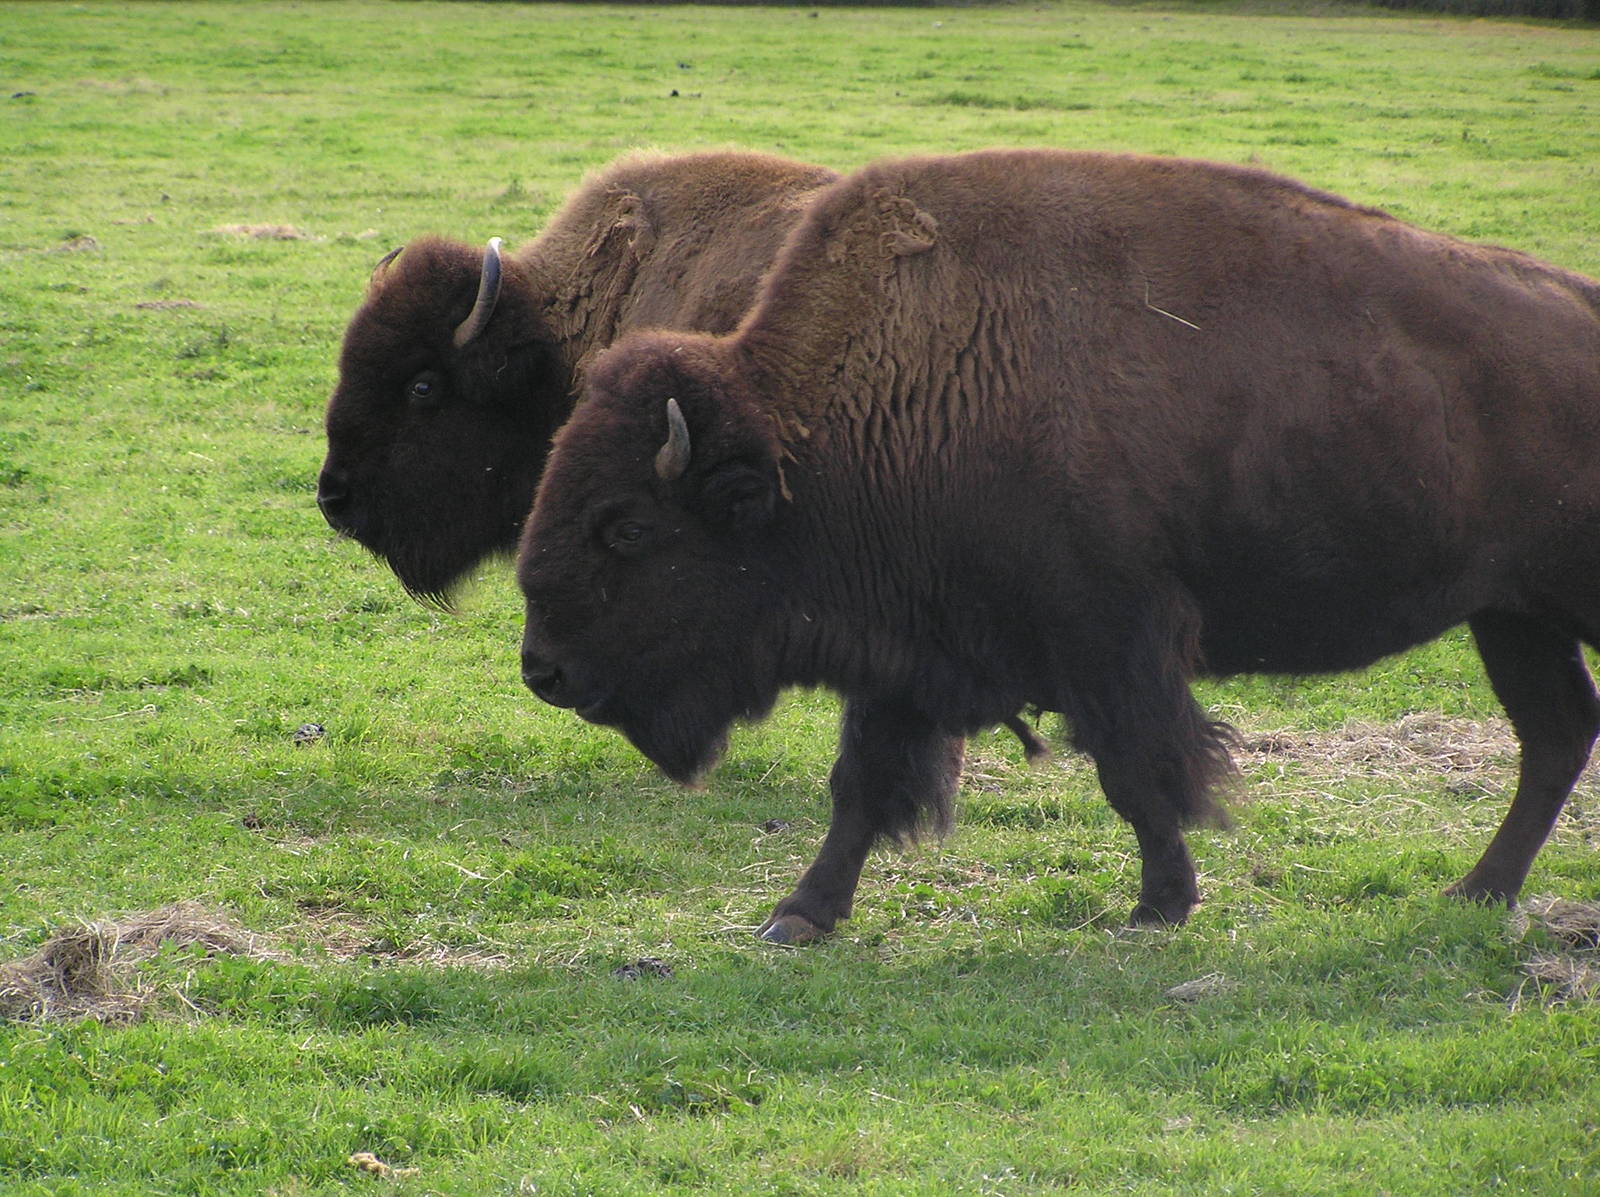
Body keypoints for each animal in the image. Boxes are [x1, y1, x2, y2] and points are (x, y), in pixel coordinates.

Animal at [518, 148, 1600, 933]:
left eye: (626, 527)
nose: (544, 671)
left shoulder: (1106, 635)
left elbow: (1137, 771)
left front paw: (1160, 905)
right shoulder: (910, 652)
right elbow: (861, 786)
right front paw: (799, 914)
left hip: (1545, 607)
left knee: (1554, 732)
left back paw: (1478, 891)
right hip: (1511, 616)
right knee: (1555, 732)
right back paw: (1476, 892)